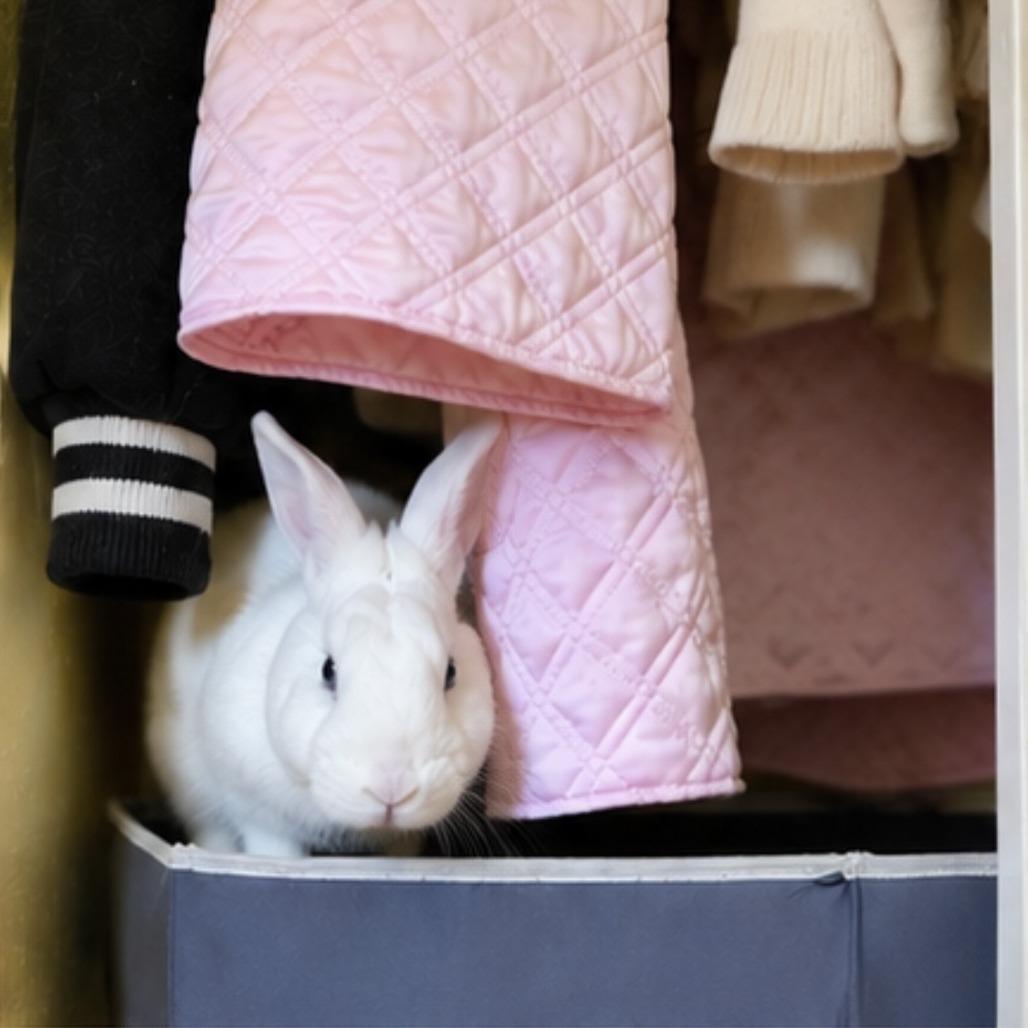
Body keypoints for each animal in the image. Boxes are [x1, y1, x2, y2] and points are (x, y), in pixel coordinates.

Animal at [146, 410, 501, 858]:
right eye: (328, 670)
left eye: (451, 673)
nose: (392, 788)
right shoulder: (258, 811)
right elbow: (272, 847)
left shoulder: (405, 838)